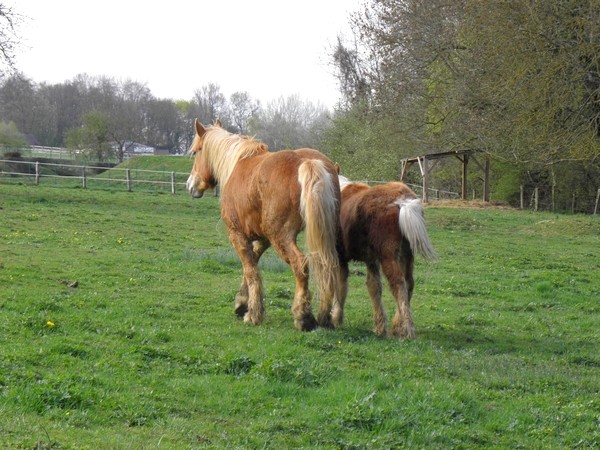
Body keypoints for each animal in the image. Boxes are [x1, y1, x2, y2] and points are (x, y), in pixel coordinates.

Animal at [188, 119, 346, 330]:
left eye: (195, 152)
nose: (190, 184)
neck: (237, 163)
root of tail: (307, 162)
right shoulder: (263, 239)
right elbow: (252, 263)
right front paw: (242, 303)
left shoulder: (237, 235)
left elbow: (250, 270)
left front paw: (253, 313)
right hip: (324, 235)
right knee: (327, 264)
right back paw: (324, 317)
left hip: (282, 237)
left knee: (301, 265)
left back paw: (303, 316)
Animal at [338, 175, 436, 338]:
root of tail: (403, 201)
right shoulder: (371, 260)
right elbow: (374, 287)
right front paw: (379, 327)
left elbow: (339, 286)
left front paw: (334, 319)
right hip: (406, 255)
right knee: (408, 283)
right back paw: (397, 326)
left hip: (388, 256)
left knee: (398, 284)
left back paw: (408, 329)